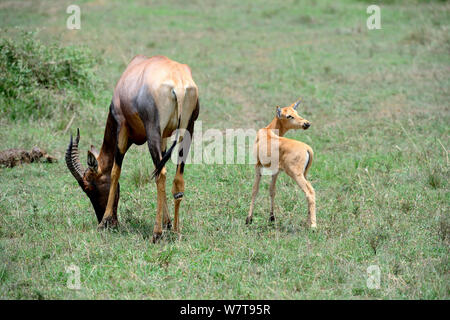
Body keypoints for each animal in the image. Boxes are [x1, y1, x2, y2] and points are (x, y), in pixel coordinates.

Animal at [66, 55, 200, 242]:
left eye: (88, 187)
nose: (104, 219)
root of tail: (178, 85)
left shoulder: (122, 128)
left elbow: (115, 171)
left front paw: (104, 222)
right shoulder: (164, 137)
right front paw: (167, 223)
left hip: (152, 132)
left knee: (161, 174)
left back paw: (156, 234)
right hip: (188, 129)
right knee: (176, 178)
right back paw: (176, 231)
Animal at [246, 99, 316, 229]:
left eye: (296, 112)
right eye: (289, 115)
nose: (306, 123)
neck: (267, 131)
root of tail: (307, 148)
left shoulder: (257, 166)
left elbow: (255, 190)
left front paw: (249, 219)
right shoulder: (276, 170)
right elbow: (272, 190)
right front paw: (271, 218)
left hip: (296, 175)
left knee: (309, 192)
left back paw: (313, 225)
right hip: (304, 174)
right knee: (311, 190)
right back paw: (308, 222)